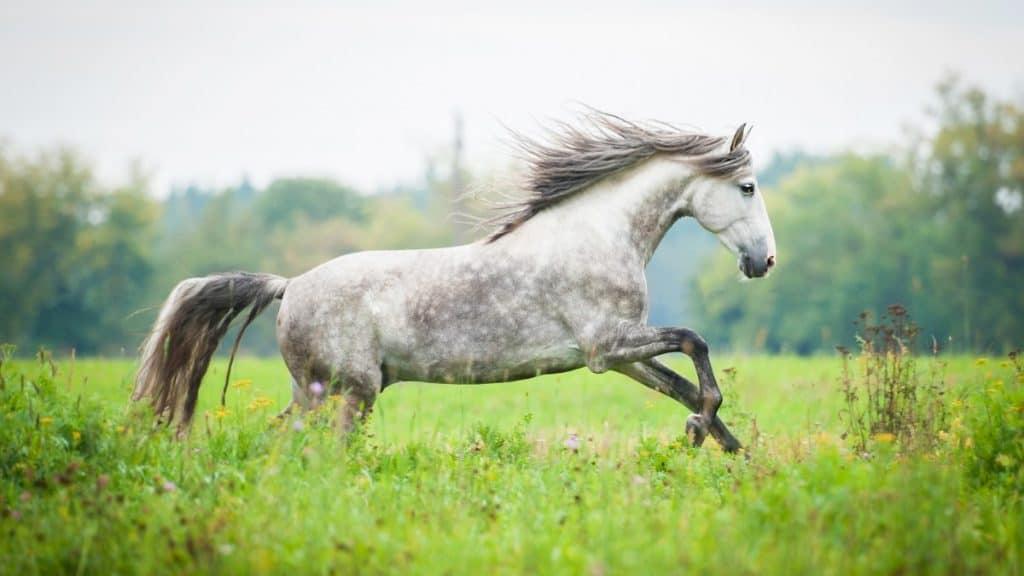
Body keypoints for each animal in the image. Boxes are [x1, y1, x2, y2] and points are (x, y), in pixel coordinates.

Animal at [134, 109, 774, 450]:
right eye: (747, 187)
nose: (764, 262)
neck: (598, 234)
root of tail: (288, 285)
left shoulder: (621, 354)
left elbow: (682, 385)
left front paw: (732, 452)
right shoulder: (605, 345)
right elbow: (695, 343)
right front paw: (700, 432)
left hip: (315, 391)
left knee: (279, 441)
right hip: (349, 392)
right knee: (320, 450)